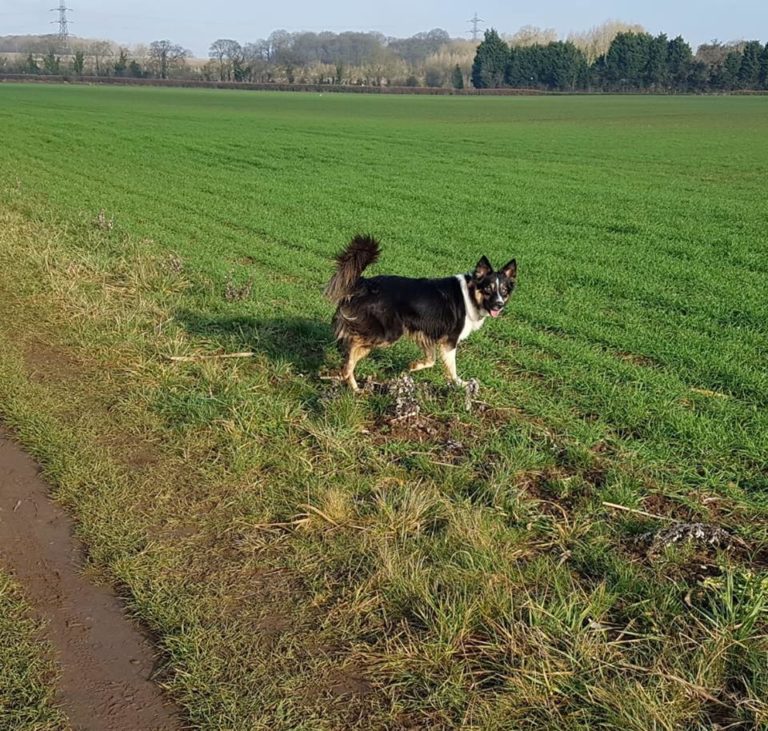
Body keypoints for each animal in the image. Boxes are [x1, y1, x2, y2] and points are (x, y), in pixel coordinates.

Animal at [324, 237, 516, 392]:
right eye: (488, 289)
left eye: (504, 291)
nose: (499, 305)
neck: (470, 294)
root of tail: (363, 283)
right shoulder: (449, 341)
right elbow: (451, 368)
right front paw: (460, 384)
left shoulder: (427, 333)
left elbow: (431, 360)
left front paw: (413, 366)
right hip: (388, 333)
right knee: (354, 345)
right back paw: (345, 371)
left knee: (352, 349)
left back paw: (353, 386)